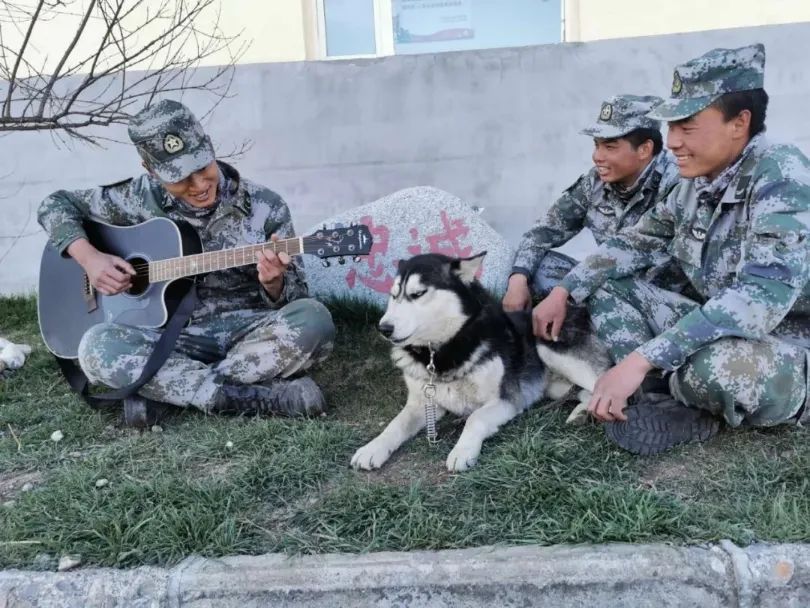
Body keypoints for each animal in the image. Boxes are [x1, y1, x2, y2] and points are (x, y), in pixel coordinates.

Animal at [348, 249, 608, 472]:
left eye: (417, 294)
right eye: (393, 296)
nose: (384, 328)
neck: (442, 350)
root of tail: (578, 310)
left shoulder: (507, 399)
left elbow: (475, 418)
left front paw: (462, 451)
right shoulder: (422, 403)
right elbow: (395, 424)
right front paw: (372, 448)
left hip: (549, 350)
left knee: (604, 385)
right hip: (555, 386)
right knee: (589, 392)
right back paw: (582, 413)